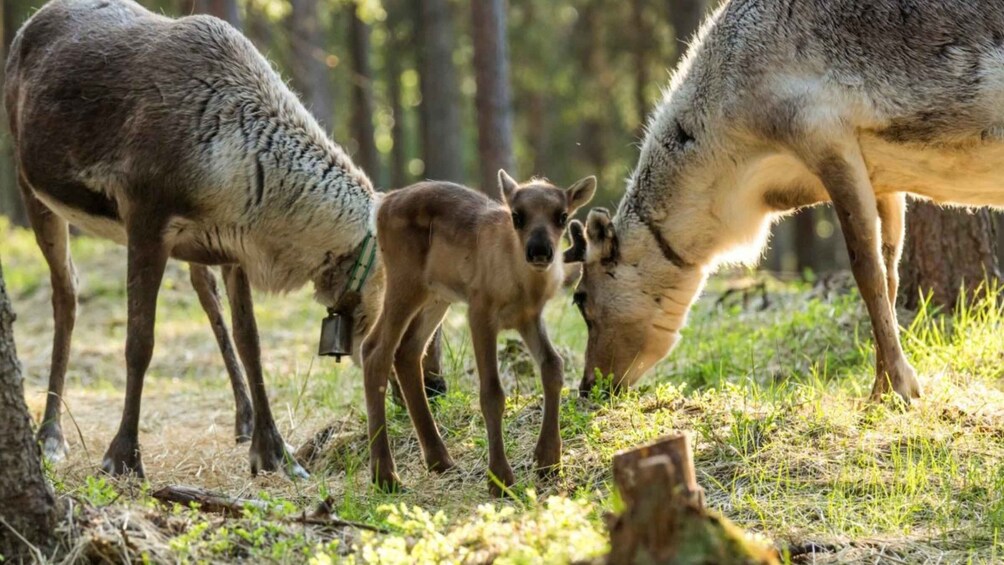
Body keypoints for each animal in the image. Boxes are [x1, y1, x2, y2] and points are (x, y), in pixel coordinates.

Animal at [363, 171, 590, 495]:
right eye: (517, 215)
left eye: (562, 216)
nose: (539, 251)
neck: (520, 284)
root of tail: (382, 204)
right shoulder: (480, 311)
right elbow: (492, 392)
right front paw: (499, 478)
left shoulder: (528, 317)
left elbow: (553, 366)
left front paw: (548, 461)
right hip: (404, 281)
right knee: (375, 350)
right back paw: (386, 475)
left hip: (437, 295)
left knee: (408, 351)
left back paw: (440, 461)